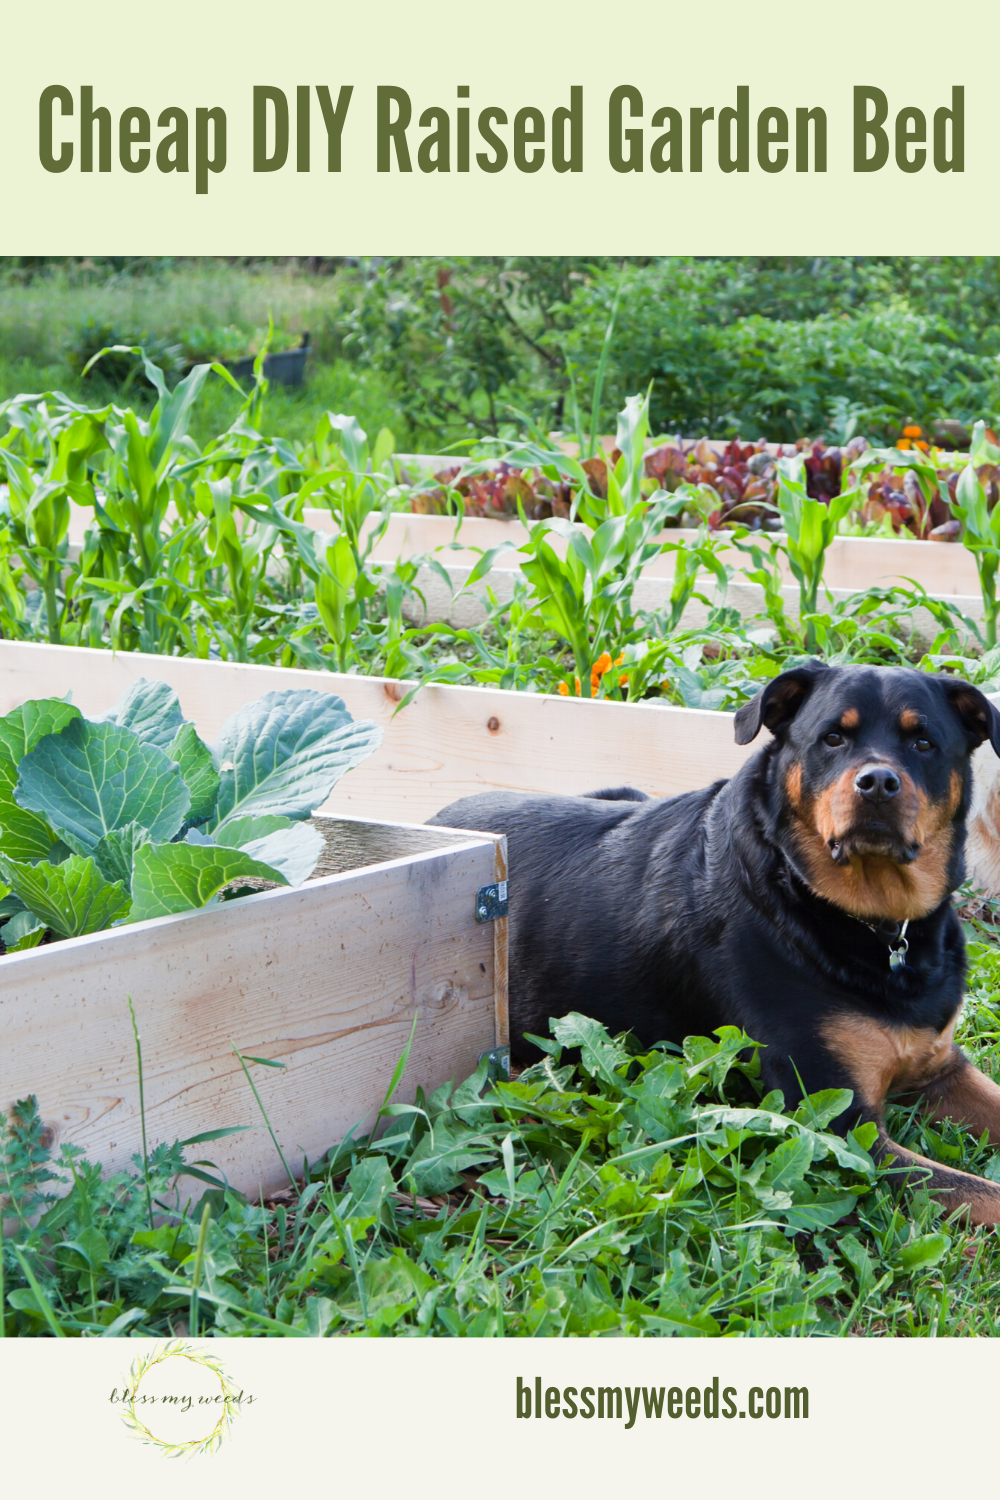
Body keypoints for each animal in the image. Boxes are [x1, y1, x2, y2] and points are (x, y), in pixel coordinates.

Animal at [431, 663, 1000, 1224]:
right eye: (833, 738)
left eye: (923, 743)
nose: (878, 781)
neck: (870, 922)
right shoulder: (838, 1121)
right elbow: (980, 1192)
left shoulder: (941, 1065)